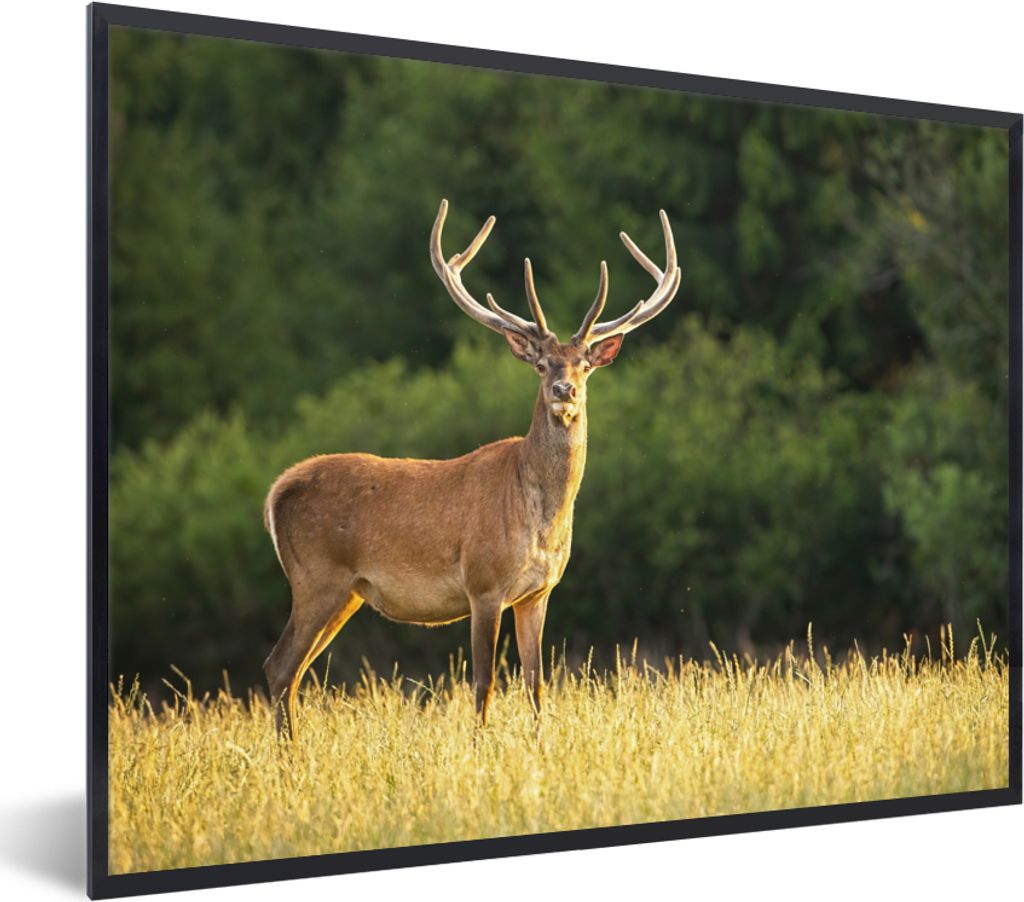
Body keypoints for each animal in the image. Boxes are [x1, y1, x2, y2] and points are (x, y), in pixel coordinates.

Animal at [262, 199, 681, 738]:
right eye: (542, 364)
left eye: (584, 365)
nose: (564, 390)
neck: (539, 518)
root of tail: (276, 493)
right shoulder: (483, 584)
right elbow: (484, 684)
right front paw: (480, 746)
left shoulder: (538, 592)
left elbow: (536, 684)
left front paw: (539, 743)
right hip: (316, 576)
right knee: (279, 665)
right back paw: (289, 752)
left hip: (346, 592)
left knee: (292, 671)